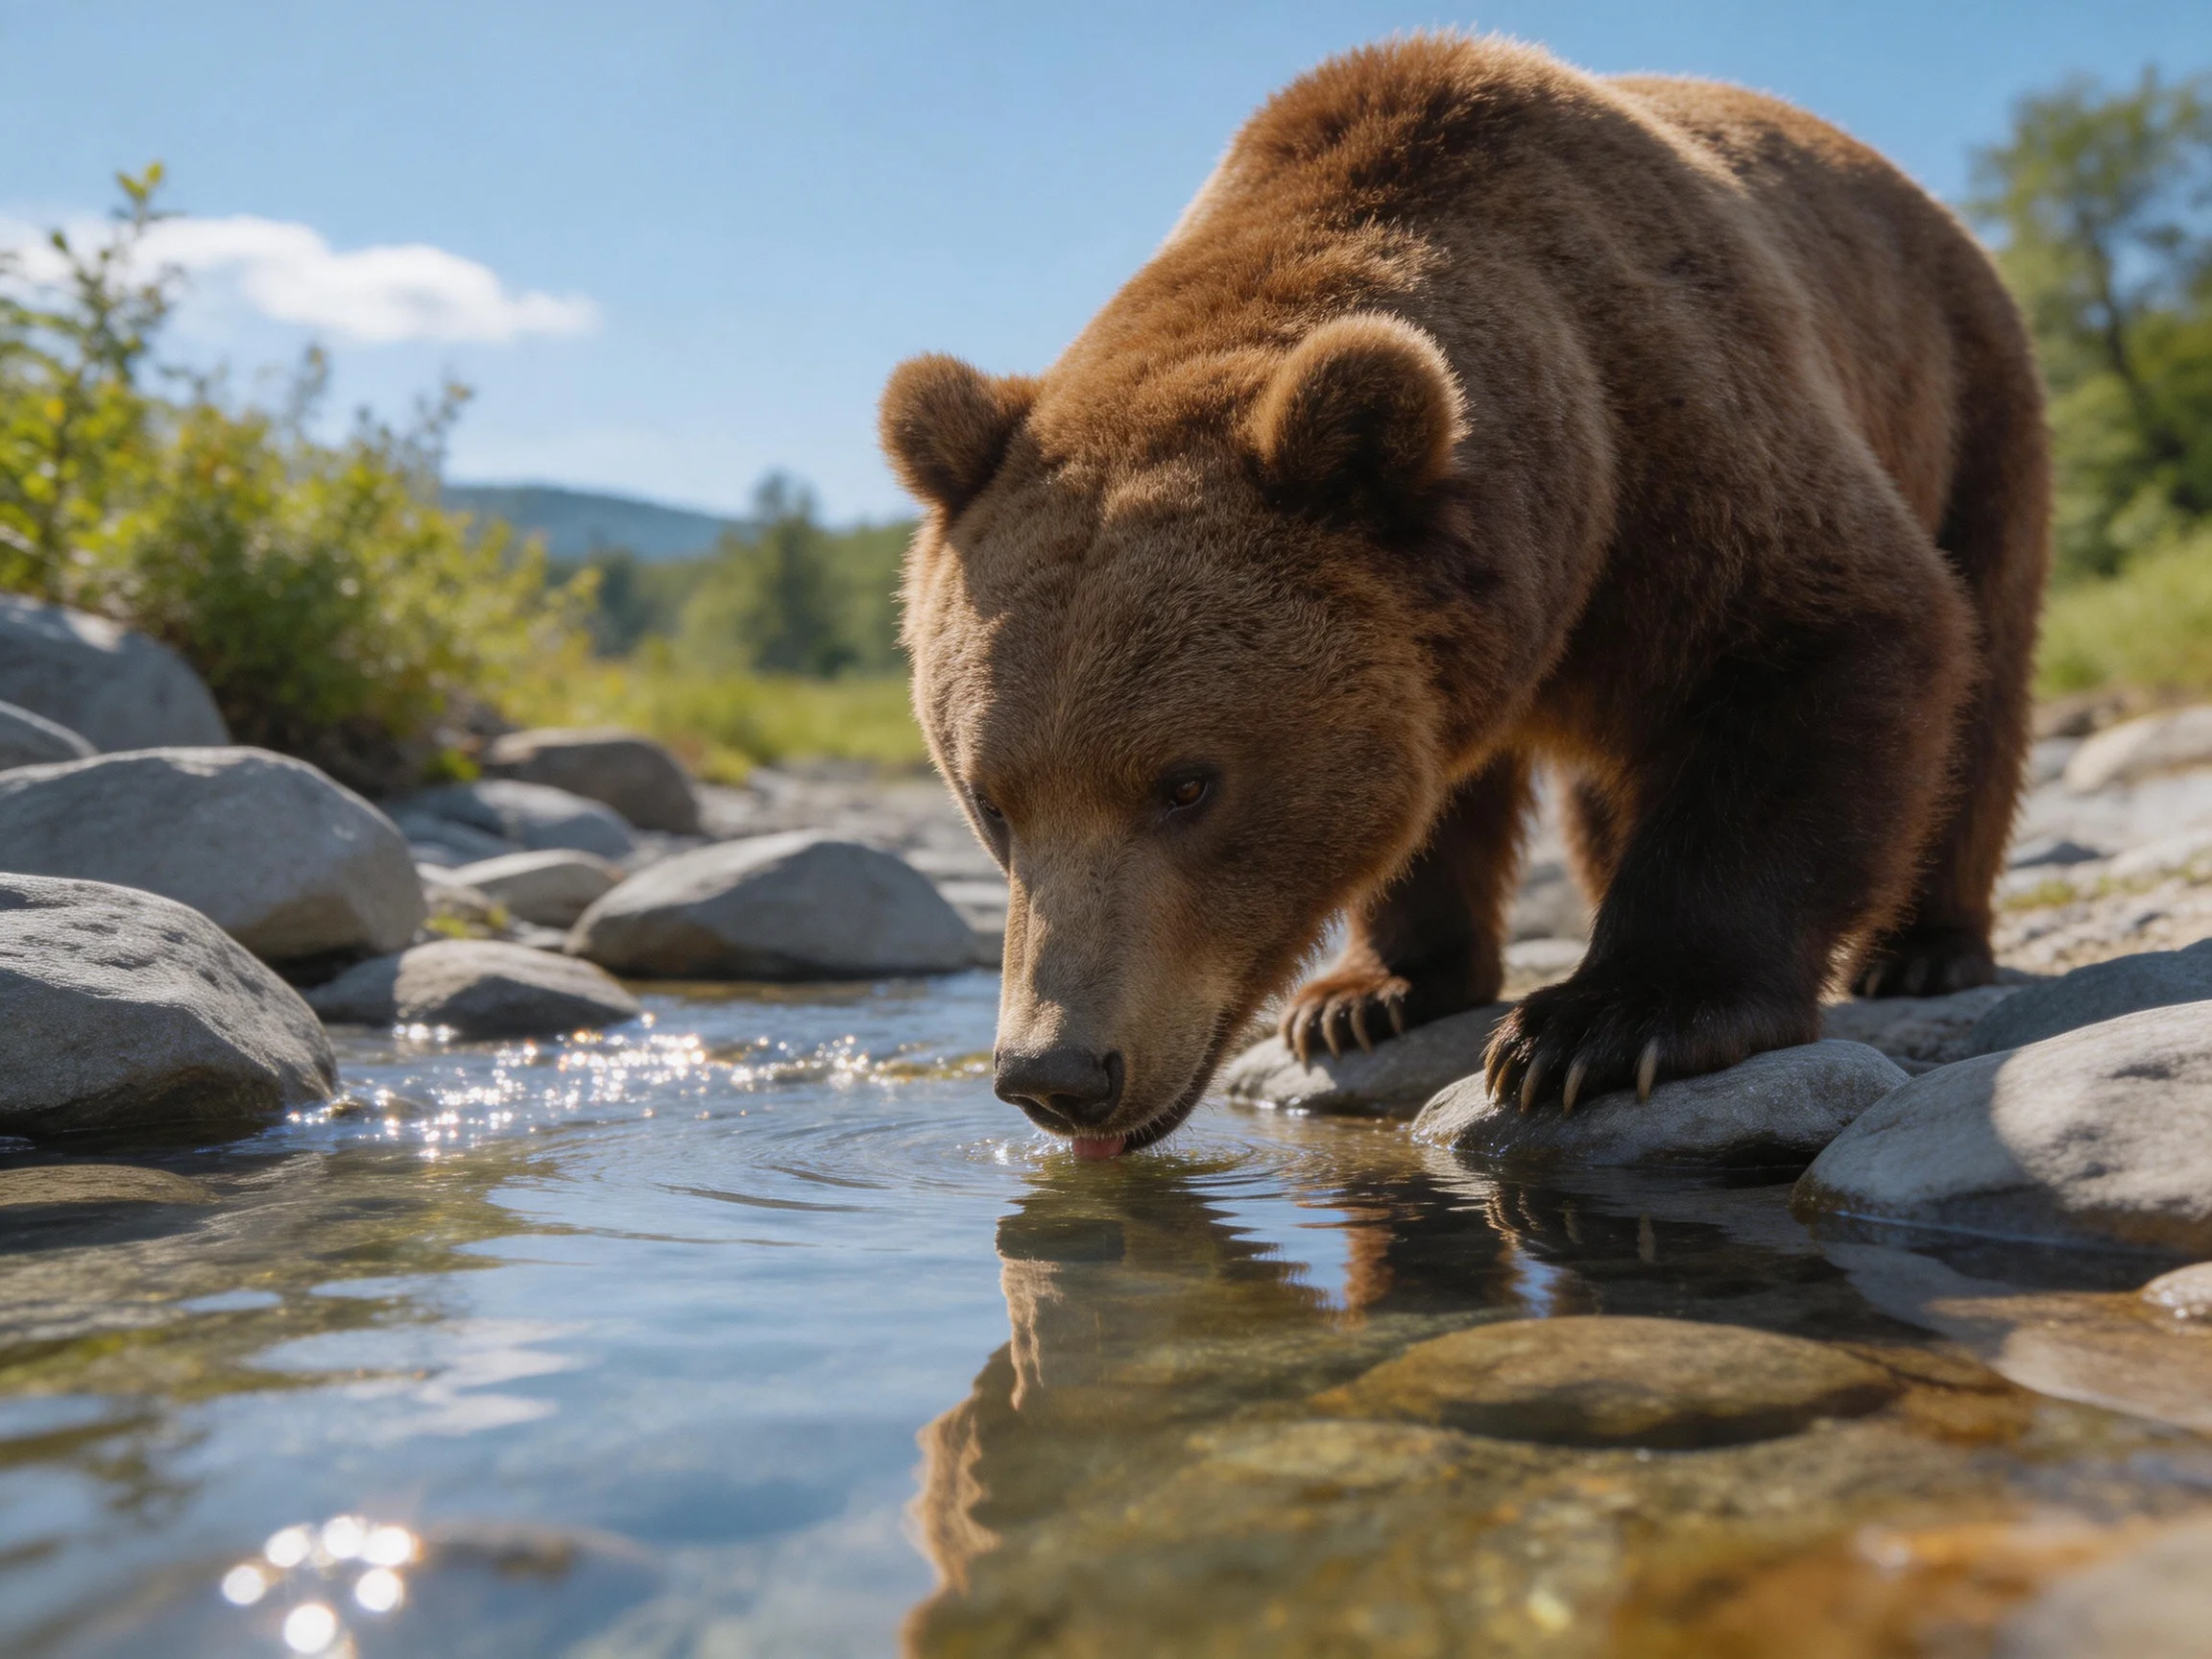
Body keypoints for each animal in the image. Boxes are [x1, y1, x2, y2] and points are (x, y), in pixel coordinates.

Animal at [879, 33, 2048, 1156]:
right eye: (991, 799)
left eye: (1186, 785)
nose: (1057, 1073)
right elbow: (1430, 803)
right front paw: (1368, 995)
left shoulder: (1687, 445)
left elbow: (1833, 639)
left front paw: (1605, 1025)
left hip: (1963, 397)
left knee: (1982, 676)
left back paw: (1926, 951)